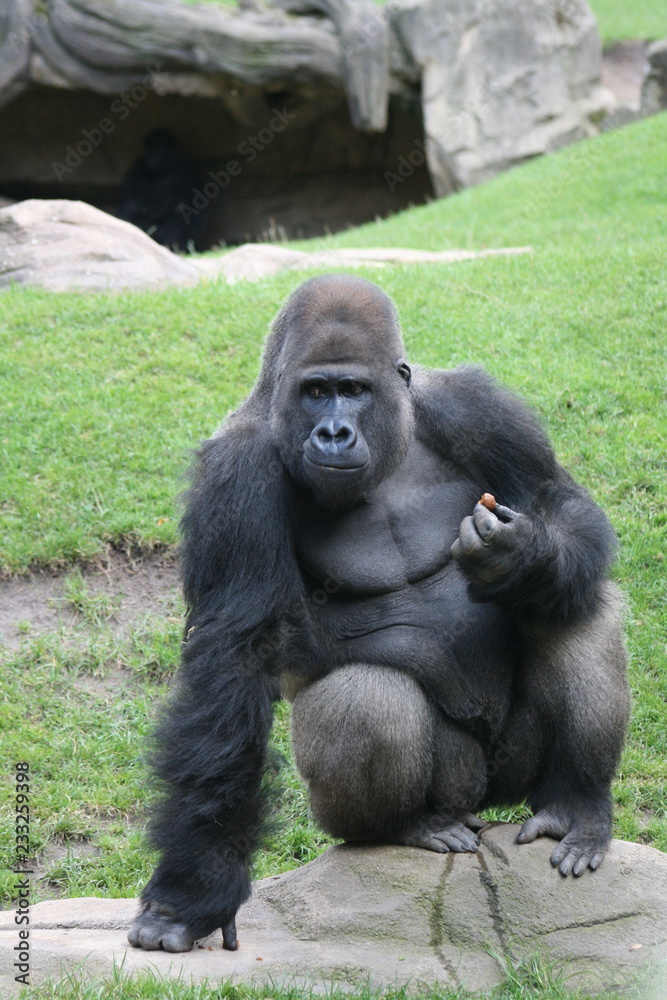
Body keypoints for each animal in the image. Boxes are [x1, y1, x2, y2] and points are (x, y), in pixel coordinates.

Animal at [129, 272, 632, 952]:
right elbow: (234, 659)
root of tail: (480, 806)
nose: (333, 433)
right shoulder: (235, 478)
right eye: (316, 392)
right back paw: (406, 826)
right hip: (443, 795)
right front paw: (194, 891)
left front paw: (521, 556)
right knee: (365, 696)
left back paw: (575, 802)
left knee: (576, 608)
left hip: (513, 778)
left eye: (353, 391)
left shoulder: (478, 408)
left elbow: (560, 499)